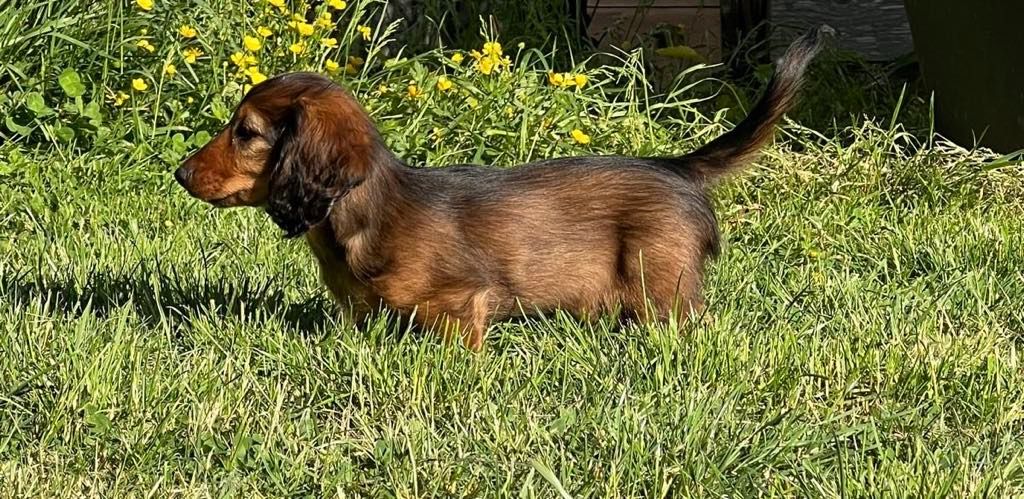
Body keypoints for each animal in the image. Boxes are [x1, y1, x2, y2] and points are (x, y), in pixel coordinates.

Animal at [175, 27, 827, 350]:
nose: (179, 174)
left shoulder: (464, 304)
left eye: (246, 132)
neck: (362, 213)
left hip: (661, 287)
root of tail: (675, 167)